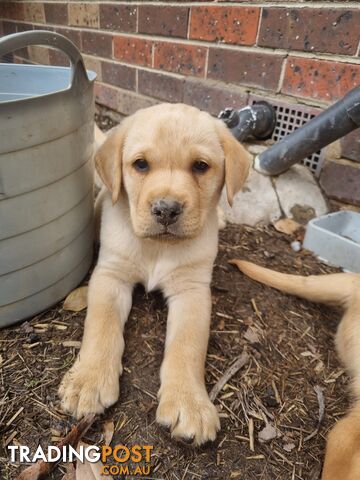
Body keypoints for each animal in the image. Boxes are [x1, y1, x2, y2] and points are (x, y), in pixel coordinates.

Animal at [59, 103, 250, 444]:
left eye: (201, 166)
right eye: (141, 164)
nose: (166, 209)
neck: (158, 248)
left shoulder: (192, 290)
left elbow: (188, 344)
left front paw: (189, 403)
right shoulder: (110, 275)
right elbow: (100, 325)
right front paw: (88, 380)